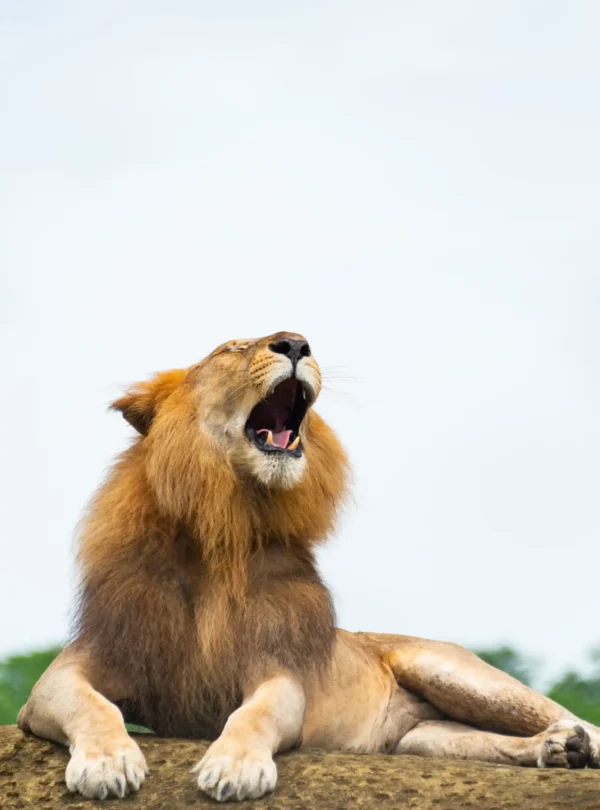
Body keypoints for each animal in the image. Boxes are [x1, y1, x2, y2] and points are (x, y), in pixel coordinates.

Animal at [18, 331, 600, 802]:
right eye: (230, 348)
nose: (296, 344)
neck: (221, 535)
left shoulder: (280, 672)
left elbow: (256, 713)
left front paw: (234, 767)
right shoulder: (63, 677)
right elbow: (94, 706)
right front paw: (107, 763)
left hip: (452, 671)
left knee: (579, 718)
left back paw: (574, 743)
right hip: (423, 740)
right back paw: (556, 750)